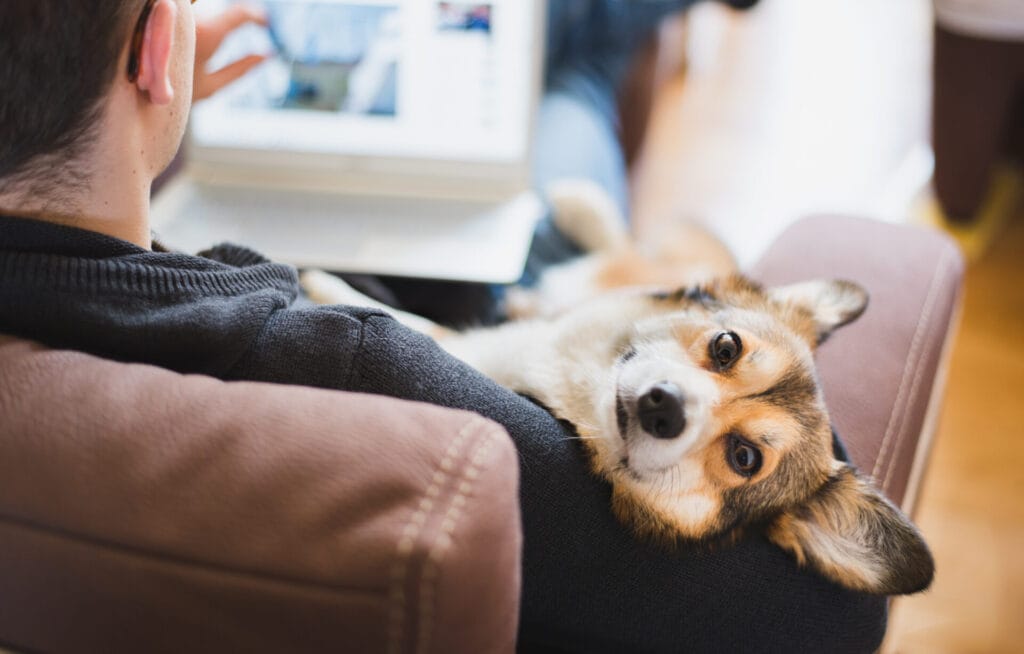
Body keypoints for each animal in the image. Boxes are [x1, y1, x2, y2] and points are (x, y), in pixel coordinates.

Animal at [299, 182, 933, 597]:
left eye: (745, 458)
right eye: (726, 347)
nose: (664, 407)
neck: (572, 380)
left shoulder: (472, 347)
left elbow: (413, 324)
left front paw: (323, 288)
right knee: (614, 257)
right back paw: (582, 206)